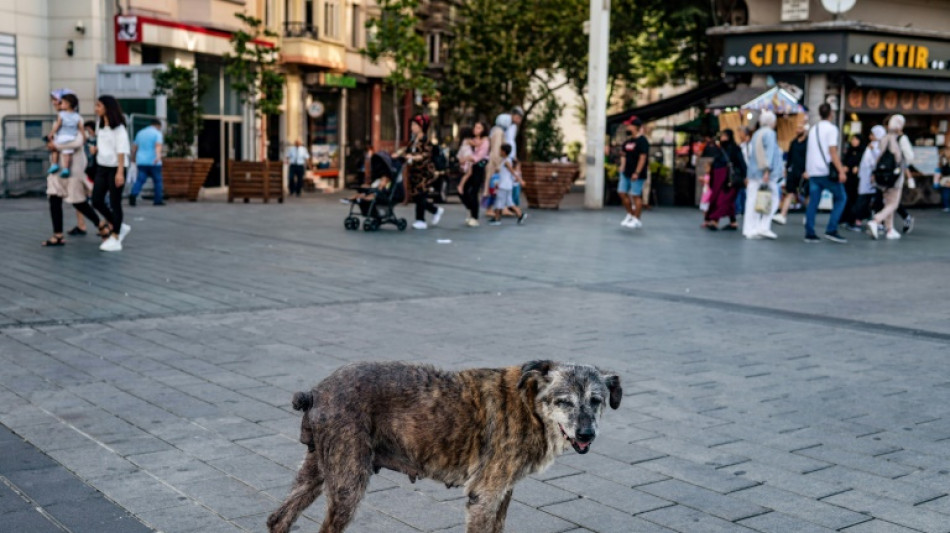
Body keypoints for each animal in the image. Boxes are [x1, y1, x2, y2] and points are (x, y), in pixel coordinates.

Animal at [268, 360, 624, 532]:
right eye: (563, 401)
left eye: (596, 400)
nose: (586, 433)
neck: (530, 405)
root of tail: (316, 391)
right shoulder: (484, 496)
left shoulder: (503, 493)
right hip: (348, 483)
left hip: (316, 472)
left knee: (278, 519)